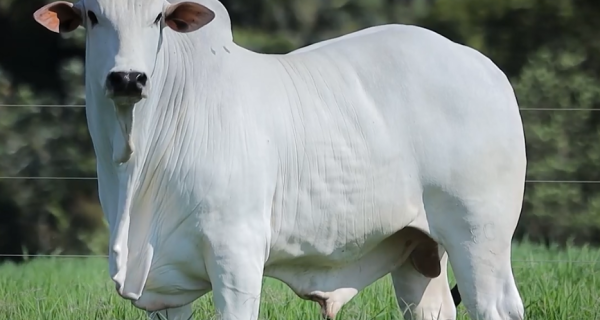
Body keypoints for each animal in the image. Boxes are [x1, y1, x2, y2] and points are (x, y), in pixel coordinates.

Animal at [34, 0, 524, 320]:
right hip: (417, 247)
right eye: (93, 15)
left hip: (480, 235)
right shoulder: (167, 286)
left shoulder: (237, 255)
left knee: (495, 305)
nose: (128, 78)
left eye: (158, 17)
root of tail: (484, 65)